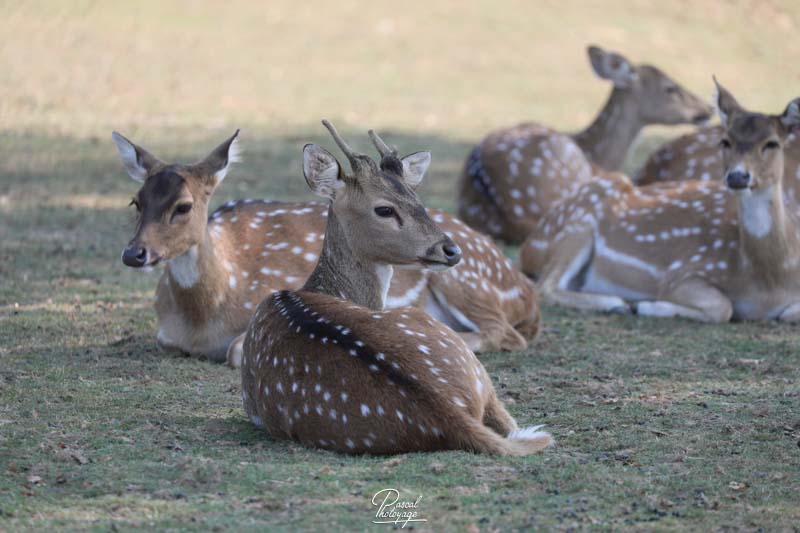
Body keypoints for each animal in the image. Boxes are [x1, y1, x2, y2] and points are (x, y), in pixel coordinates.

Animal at [115, 129, 540, 364]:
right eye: (136, 202)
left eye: (183, 206)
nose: (134, 253)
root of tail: (525, 288)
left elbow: (236, 351)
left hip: (469, 284)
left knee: (506, 333)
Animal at [516, 78, 800, 320]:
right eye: (725, 141)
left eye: (772, 143)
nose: (738, 176)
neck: (770, 280)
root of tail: (529, 246)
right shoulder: (683, 273)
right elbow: (723, 307)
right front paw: (646, 306)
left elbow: (788, 314)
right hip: (578, 223)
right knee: (545, 286)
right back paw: (617, 303)